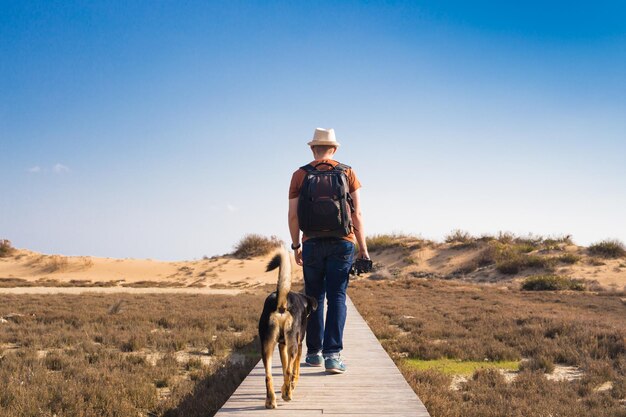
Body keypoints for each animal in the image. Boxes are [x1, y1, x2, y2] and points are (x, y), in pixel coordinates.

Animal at [258, 245, 316, 408]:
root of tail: (282, 304)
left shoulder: (281, 345)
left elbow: (284, 369)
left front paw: (285, 386)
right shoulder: (299, 344)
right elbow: (294, 370)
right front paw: (291, 385)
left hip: (267, 346)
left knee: (268, 375)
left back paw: (271, 400)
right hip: (293, 345)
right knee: (290, 369)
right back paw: (287, 395)